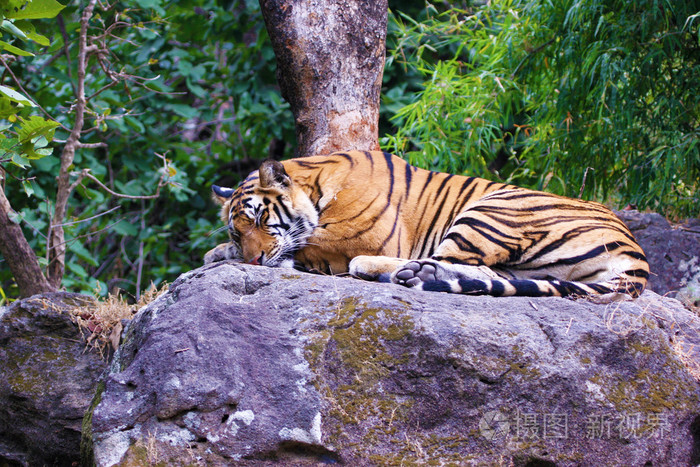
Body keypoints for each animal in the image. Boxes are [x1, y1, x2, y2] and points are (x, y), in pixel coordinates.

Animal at [204, 150, 649, 298]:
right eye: (237, 230)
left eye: (261, 217)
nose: (255, 260)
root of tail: (637, 256)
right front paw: (219, 252)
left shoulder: (368, 236)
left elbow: (308, 245)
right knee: (482, 272)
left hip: (494, 210)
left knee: (450, 262)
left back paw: (394, 272)